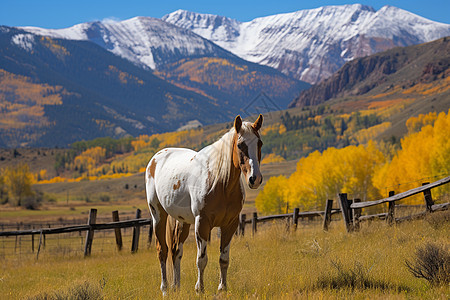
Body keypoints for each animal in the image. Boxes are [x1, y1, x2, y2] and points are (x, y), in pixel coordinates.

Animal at [144, 114, 264, 292]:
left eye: (259, 143)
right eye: (240, 145)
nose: (254, 179)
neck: (220, 182)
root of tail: (156, 158)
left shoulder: (230, 224)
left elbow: (224, 259)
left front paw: (222, 289)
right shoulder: (202, 223)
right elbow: (201, 260)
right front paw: (199, 289)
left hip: (182, 221)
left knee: (176, 251)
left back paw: (176, 287)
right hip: (158, 215)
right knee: (162, 251)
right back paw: (165, 289)